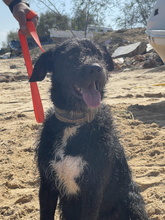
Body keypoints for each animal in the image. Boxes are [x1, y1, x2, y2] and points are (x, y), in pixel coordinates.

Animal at [29, 38, 148, 219]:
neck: (74, 122)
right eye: (70, 55)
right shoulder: (47, 186)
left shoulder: (93, 190)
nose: (96, 68)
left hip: (131, 203)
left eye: (98, 54)